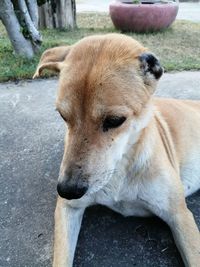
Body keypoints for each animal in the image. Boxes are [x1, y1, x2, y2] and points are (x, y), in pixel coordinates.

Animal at [33, 34, 200, 267]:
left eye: (114, 120)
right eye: (63, 116)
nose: (67, 190)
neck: (121, 168)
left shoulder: (180, 216)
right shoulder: (67, 209)